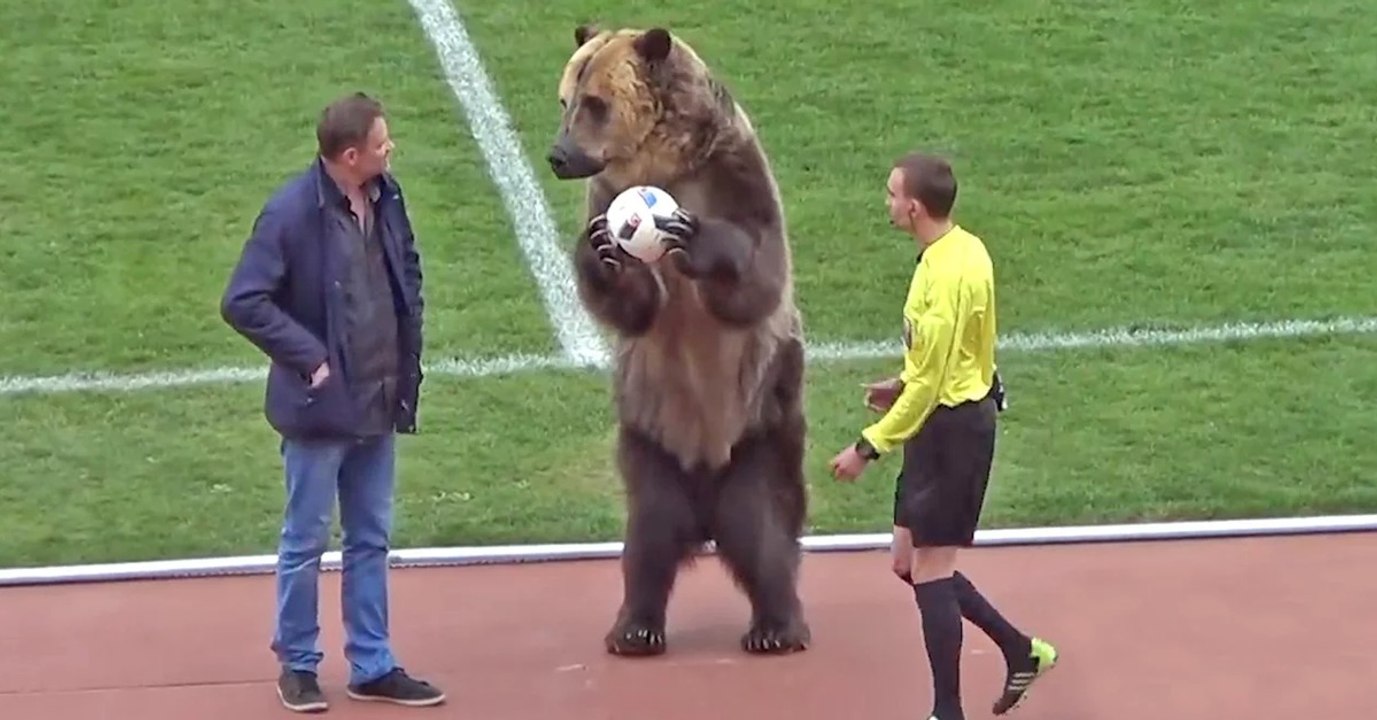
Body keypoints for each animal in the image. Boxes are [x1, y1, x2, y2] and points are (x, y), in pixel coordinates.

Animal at [546, 23, 811, 657]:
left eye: (596, 103)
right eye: (565, 100)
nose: (558, 155)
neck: (662, 166)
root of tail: (705, 511)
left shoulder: (734, 174)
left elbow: (759, 270)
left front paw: (698, 240)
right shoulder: (603, 193)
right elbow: (634, 309)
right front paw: (604, 253)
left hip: (760, 429)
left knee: (761, 530)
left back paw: (776, 627)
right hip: (650, 437)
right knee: (649, 538)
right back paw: (634, 628)